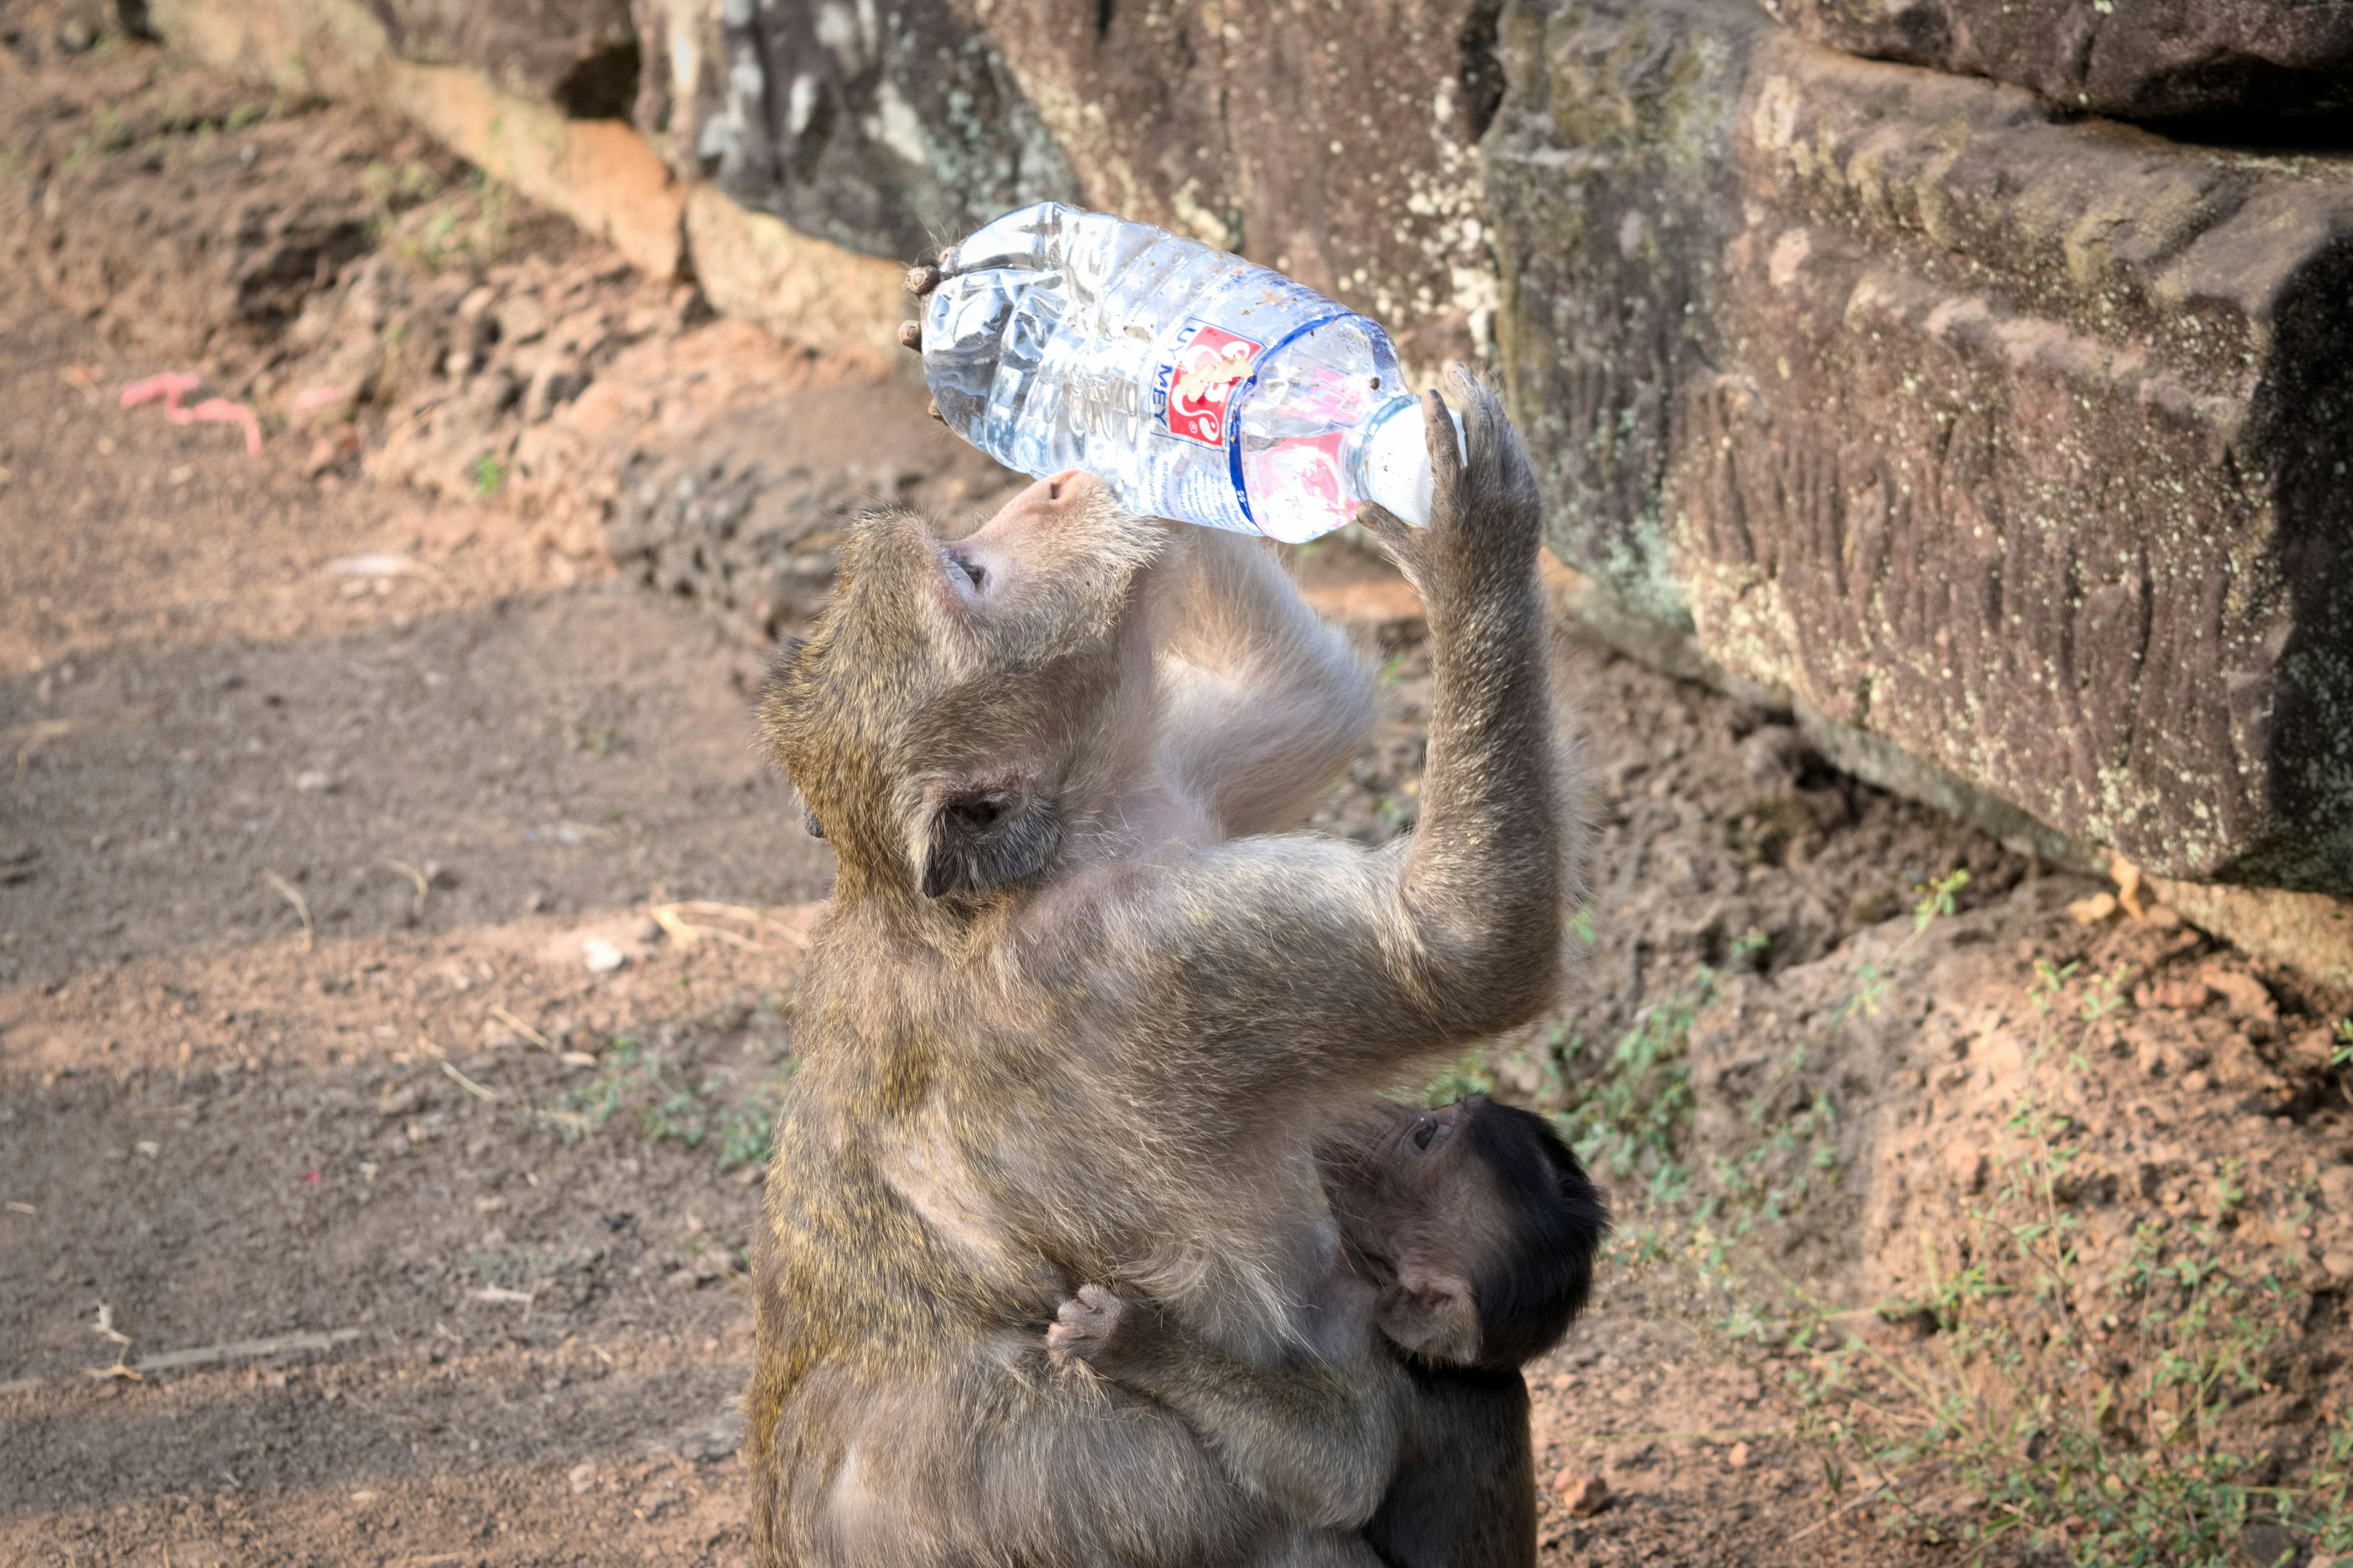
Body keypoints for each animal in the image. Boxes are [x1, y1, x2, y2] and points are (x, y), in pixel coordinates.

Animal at [1059, 1097, 1609, 1563]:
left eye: (1425, 1135)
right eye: (1434, 1117)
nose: (1386, 1104)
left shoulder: (1361, 1330)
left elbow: (1345, 1474)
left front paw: (1139, 1340)